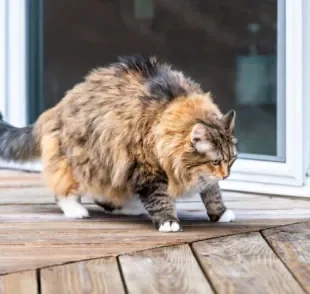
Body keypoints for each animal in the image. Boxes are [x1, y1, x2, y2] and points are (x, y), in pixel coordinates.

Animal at [0, 55, 237, 232]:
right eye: (216, 161)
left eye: (231, 160)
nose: (226, 175)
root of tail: (58, 106)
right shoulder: (148, 169)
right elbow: (160, 198)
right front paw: (168, 221)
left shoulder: (202, 177)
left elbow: (213, 192)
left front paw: (220, 213)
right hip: (84, 161)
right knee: (65, 190)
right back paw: (76, 211)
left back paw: (129, 207)